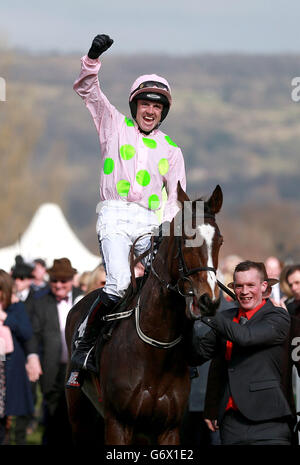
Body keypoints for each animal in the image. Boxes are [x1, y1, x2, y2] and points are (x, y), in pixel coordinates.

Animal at [66, 183, 225, 444]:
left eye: (219, 241)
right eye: (187, 238)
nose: (208, 300)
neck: (156, 350)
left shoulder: (168, 428)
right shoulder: (118, 422)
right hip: (80, 416)